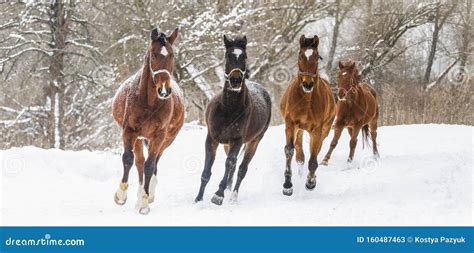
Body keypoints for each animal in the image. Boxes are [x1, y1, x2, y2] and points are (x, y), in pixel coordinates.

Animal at [112, 27, 184, 214]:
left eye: (172, 54)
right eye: (153, 54)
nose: (164, 90)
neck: (150, 102)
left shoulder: (159, 136)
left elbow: (150, 166)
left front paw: (145, 202)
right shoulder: (129, 131)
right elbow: (128, 159)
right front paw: (121, 195)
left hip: (166, 140)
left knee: (153, 163)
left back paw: (148, 194)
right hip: (139, 138)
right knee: (138, 163)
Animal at [194, 35, 272, 206]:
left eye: (245, 56)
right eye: (228, 55)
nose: (235, 80)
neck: (229, 109)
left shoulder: (237, 140)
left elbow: (229, 164)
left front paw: (218, 195)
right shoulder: (212, 139)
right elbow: (206, 170)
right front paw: (198, 199)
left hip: (254, 142)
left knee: (241, 168)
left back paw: (233, 195)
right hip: (227, 144)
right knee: (235, 166)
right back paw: (229, 189)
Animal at [280, 34, 336, 196]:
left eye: (316, 57)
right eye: (300, 56)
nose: (308, 84)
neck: (306, 99)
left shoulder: (317, 129)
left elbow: (313, 158)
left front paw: (310, 182)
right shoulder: (290, 124)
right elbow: (289, 150)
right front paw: (287, 185)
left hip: (323, 130)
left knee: (315, 150)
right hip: (298, 129)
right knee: (299, 151)